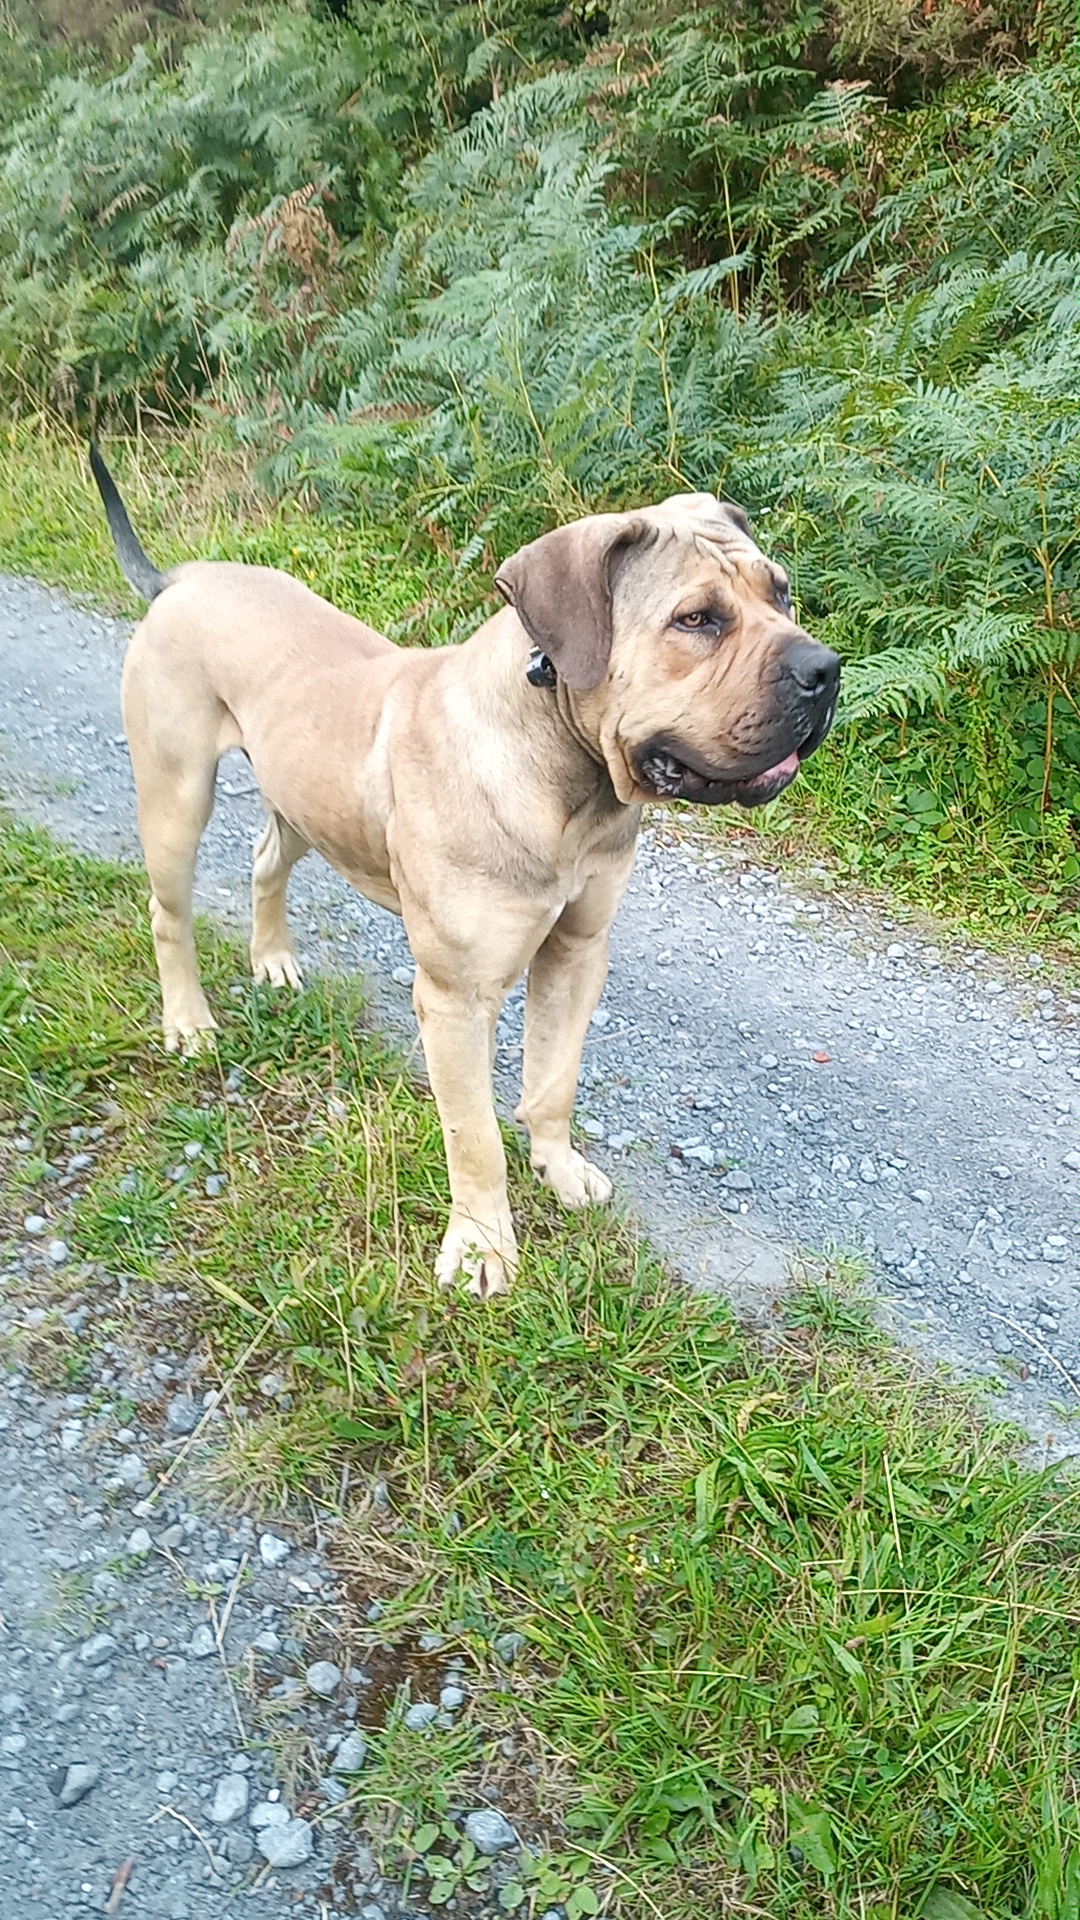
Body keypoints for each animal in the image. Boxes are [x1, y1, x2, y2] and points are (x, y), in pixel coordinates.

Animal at [90, 446, 839, 1296]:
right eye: (698, 620)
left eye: (780, 592)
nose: (826, 668)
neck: (569, 781)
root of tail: (180, 579)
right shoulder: (455, 997)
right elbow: (473, 1134)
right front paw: (482, 1245)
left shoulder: (577, 951)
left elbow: (554, 1081)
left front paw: (558, 1169)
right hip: (177, 795)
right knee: (169, 914)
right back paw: (188, 1021)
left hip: (304, 799)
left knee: (265, 860)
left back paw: (272, 958)